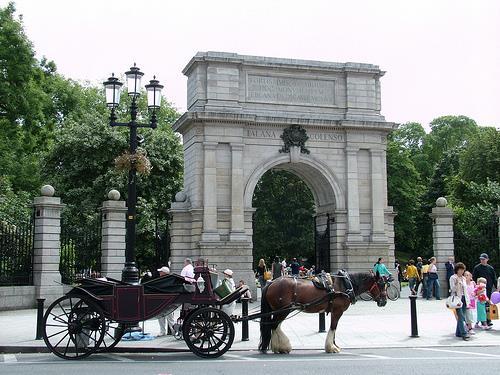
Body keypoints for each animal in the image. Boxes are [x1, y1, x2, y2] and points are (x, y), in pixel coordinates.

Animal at [258, 272, 386, 354]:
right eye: (381, 284)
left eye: (386, 284)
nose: (384, 301)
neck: (345, 284)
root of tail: (271, 282)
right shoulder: (337, 311)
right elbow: (333, 327)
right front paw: (331, 347)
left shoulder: (335, 311)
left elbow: (334, 329)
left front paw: (335, 345)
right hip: (284, 310)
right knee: (274, 325)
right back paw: (282, 347)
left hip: (282, 310)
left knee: (275, 325)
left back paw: (278, 347)